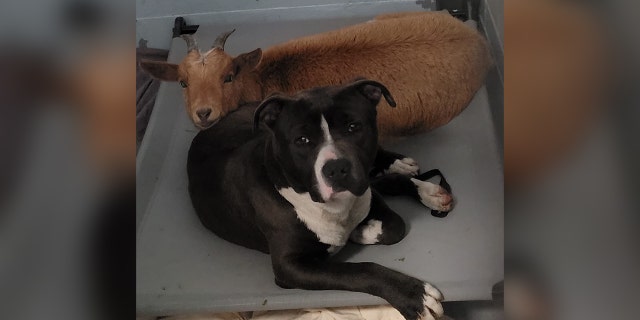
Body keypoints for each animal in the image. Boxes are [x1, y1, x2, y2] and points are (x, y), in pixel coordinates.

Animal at [188, 79, 452, 318]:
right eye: (302, 140)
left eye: (353, 127)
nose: (336, 168)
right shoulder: (290, 267)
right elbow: (360, 270)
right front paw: (413, 295)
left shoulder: (366, 195)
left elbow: (395, 226)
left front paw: (359, 230)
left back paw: (414, 179)